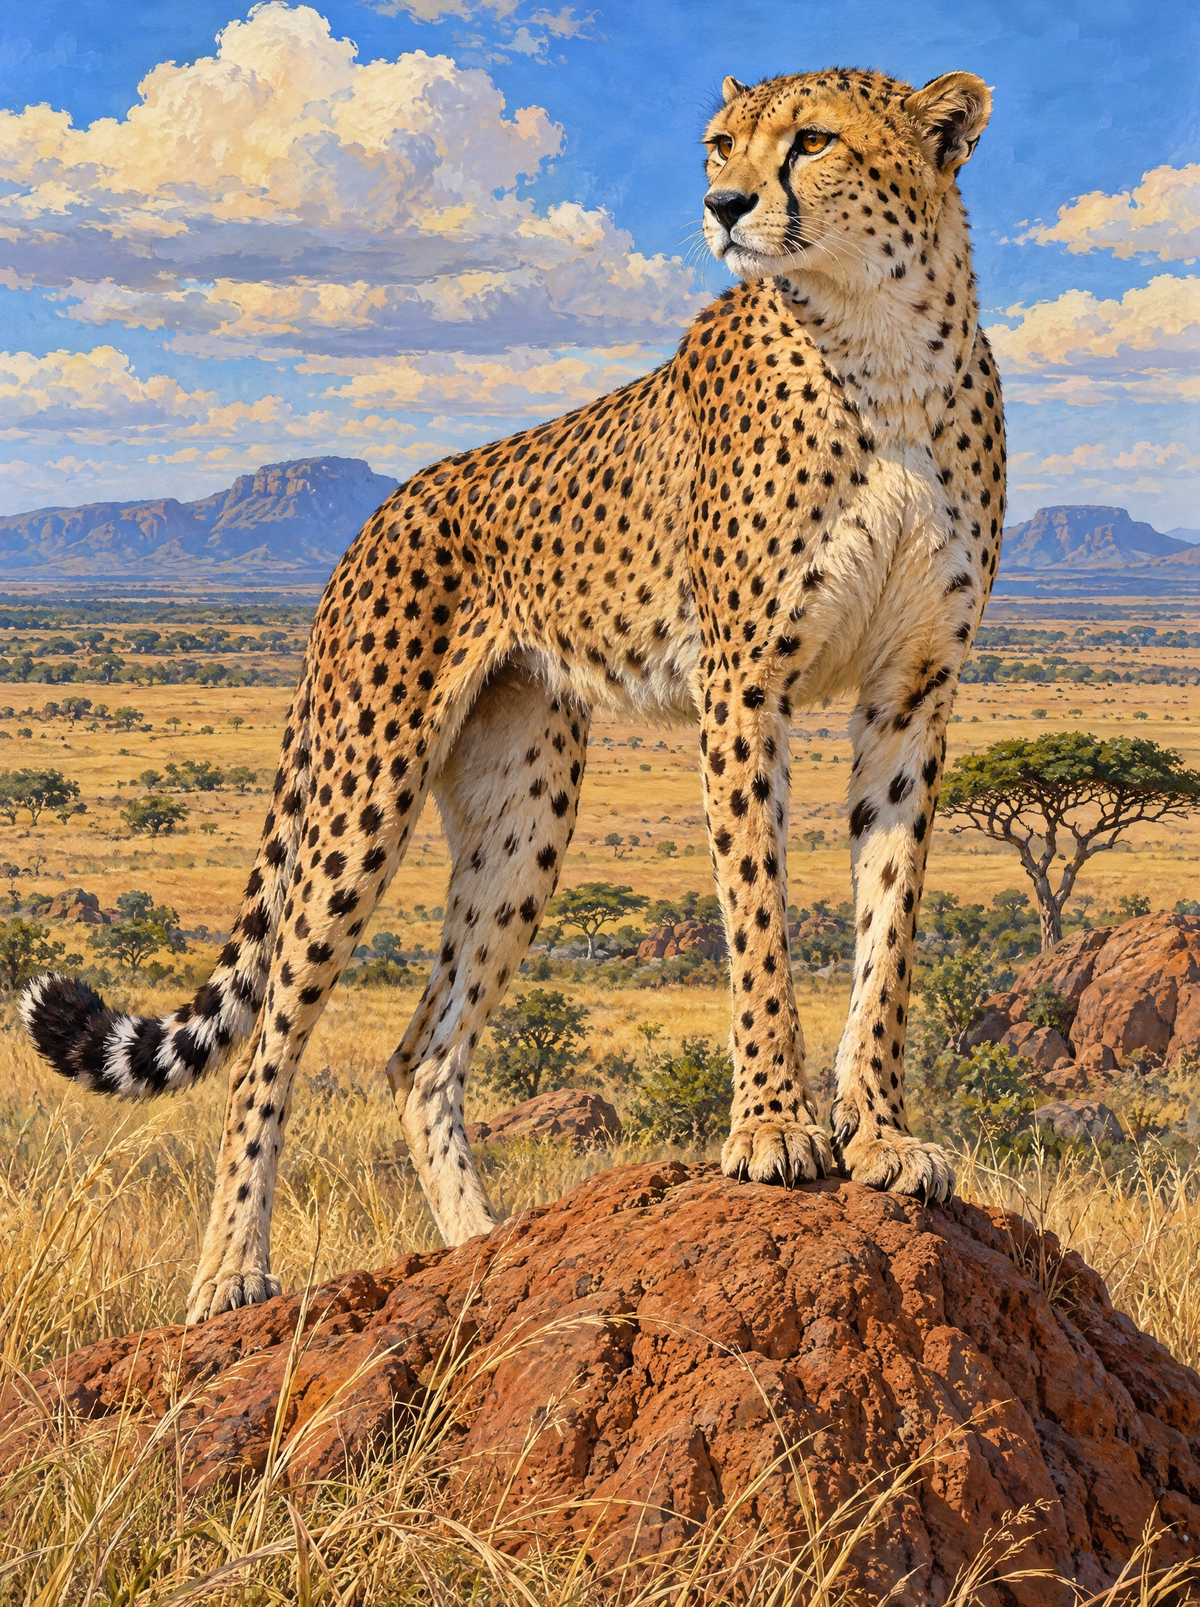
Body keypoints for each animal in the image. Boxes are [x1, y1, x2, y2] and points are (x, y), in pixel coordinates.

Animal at [21, 65, 1005, 1325]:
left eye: (815, 140)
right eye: (720, 143)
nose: (724, 205)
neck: (881, 344)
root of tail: (384, 509)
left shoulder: (911, 692)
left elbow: (888, 931)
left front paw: (880, 1134)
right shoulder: (745, 686)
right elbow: (758, 918)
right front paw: (773, 1130)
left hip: (524, 810)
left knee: (421, 1051)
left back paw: (483, 1254)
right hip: (366, 785)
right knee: (268, 1045)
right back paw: (233, 1270)